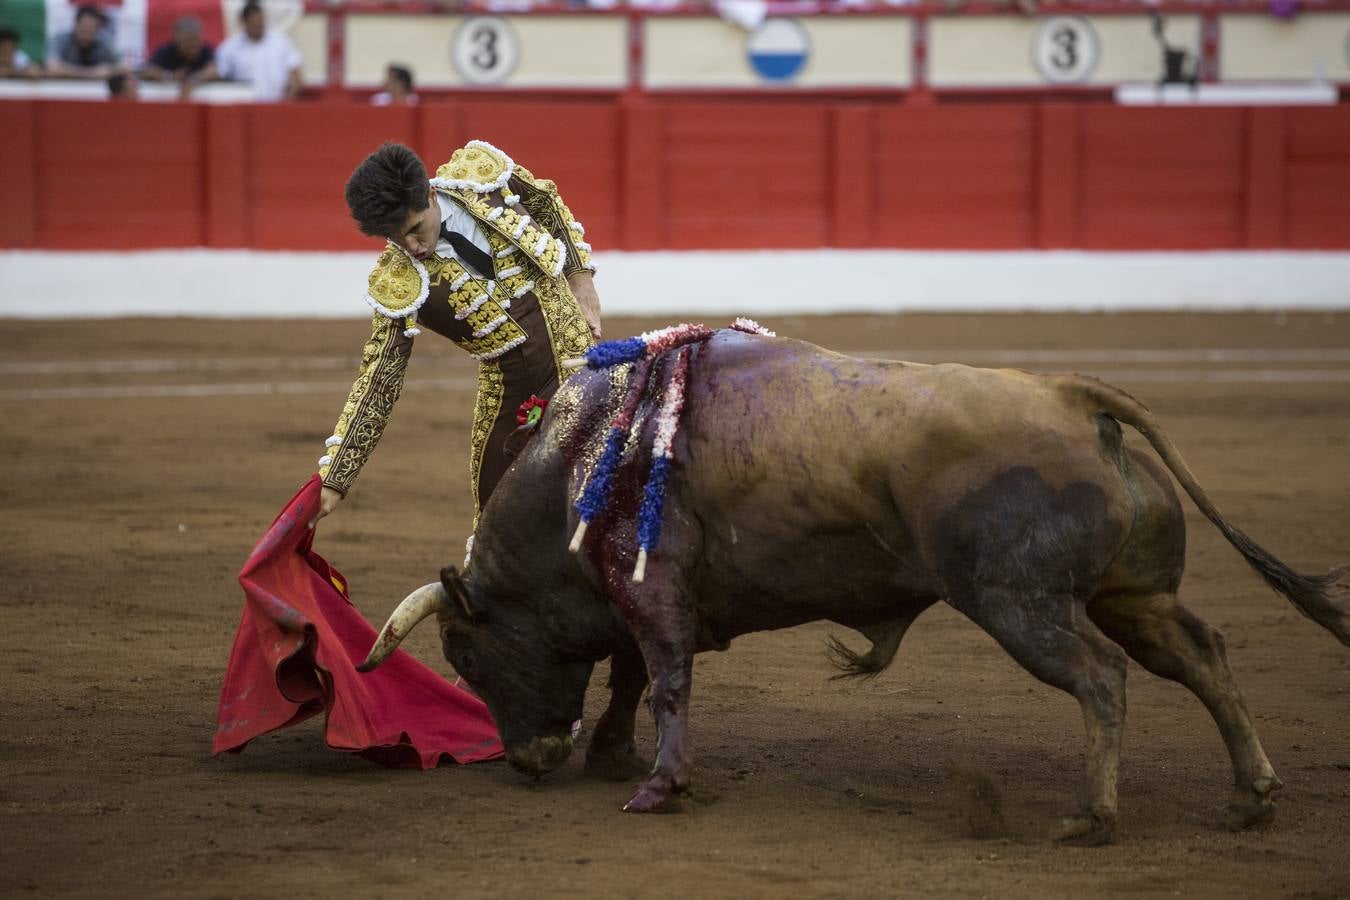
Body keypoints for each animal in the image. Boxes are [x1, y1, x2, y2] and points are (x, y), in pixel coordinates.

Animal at [353, 329, 1344, 847]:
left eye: (472, 658)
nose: (528, 761)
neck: (585, 460)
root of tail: (1072, 398)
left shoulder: (655, 590)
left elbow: (665, 679)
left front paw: (659, 786)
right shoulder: (643, 598)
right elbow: (635, 676)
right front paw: (617, 756)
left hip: (1020, 605)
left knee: (1102, 677)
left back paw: (1089, 817)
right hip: (1131, 596)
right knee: (1201, 655)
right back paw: (1250, 796)